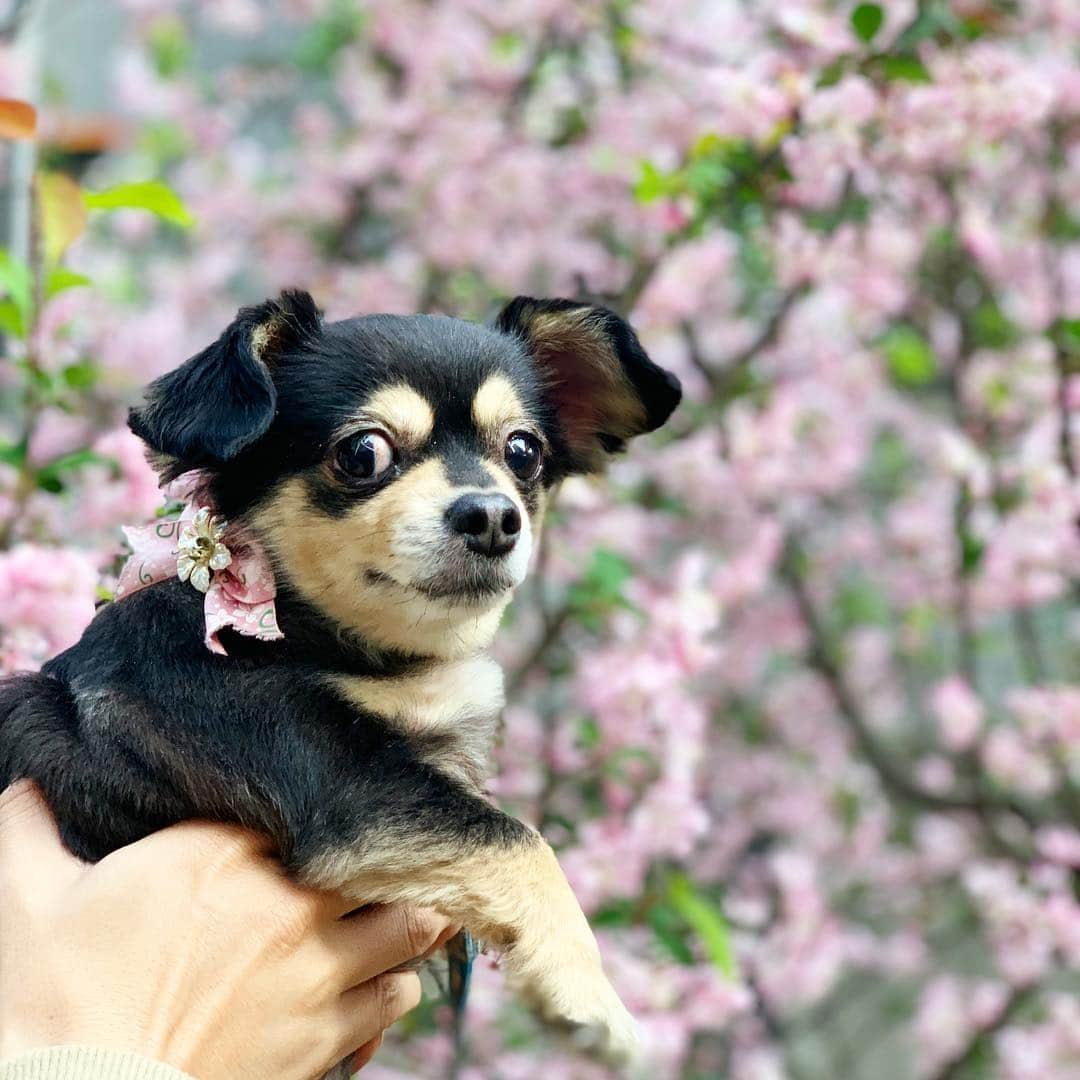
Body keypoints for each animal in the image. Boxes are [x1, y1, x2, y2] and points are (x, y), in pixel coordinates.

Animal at [0, 291, 678, 1067]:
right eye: (363, 453)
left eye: (523, 452)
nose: (492, 514)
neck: (324, 641)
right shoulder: (335, 779)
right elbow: (517, 840)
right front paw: (591, 999)